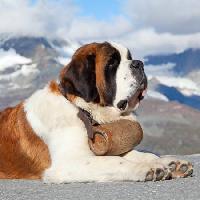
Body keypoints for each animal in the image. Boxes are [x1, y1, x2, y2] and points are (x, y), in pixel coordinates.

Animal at [0, 41, 194, 182]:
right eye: (112, 63)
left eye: (129, 57)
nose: (139, 63)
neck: (82, 110)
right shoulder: (67, 163)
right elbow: (116, 161)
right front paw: (148, 168)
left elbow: (139, 154)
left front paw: (171, 163)